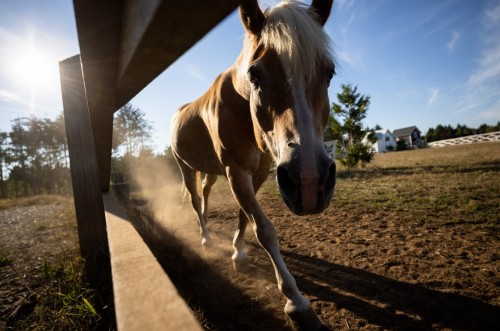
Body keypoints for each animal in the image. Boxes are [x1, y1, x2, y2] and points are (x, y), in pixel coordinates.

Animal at [171, 1, 336, 330]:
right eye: (254, 75)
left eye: (329, 73)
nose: (310, 180)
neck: (239, 105)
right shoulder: (236, 172)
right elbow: (265, 230)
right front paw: (296, 301)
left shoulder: (259, 172)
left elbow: (244, 217)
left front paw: (239, 254)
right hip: (185, 167)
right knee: (195, 200)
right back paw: (205, 239)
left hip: (210, 171)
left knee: (205, 196)